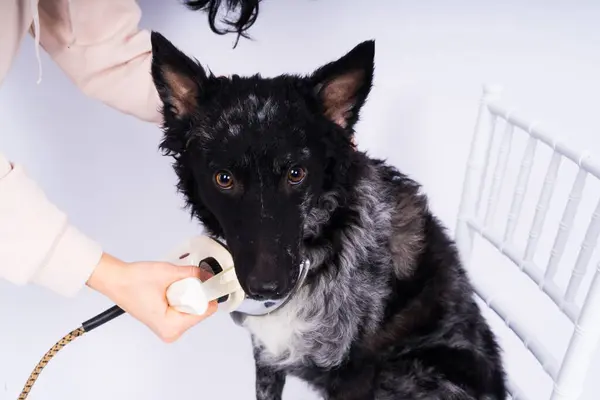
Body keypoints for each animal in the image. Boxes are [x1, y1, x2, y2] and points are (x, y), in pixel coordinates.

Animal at [150, 32, 506, 400]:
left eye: (296, 173)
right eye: (224, 178)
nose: (266, 287)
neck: (321, 243)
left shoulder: (351, 380)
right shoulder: (266, 353)